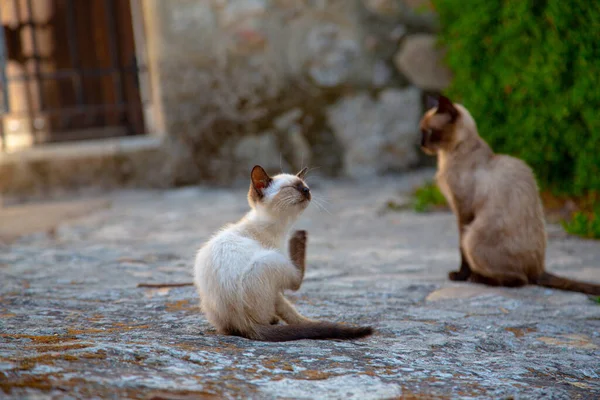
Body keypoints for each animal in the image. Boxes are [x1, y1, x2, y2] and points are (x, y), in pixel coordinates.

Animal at [420, 93, 600, 294]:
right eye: (421, 131)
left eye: (428, 131)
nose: (420, 143)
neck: (448, 155)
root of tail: (539, 269)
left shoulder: (463, 212)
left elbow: (461, 252)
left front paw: (460, 276)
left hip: (472, 236)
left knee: (520, 280)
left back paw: (479, 278)